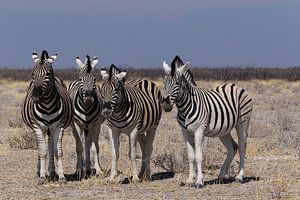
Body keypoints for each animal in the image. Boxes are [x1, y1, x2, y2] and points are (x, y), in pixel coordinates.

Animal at [21, 50, 73, 184]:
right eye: (33, 74)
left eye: (48, 74)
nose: (35, 96)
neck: (47, 105)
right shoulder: (38, 127)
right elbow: (42, 151)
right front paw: (42, 176)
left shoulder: (59, 126)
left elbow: (57, 151)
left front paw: (61, 176)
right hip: (42, 128)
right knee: (42, 147)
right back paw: (40, 171)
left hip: (51, 129)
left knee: (50, 146)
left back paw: (53, 172)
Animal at [161, 55, 252, 188]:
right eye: (164, 83)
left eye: (177, 83)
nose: (165, 105)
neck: (185, 107)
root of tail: (234, 85)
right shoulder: (185, 132)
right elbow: (190, 156)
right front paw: (189, 180)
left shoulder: (199, 130)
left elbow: (199, 156)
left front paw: (199, 181)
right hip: (224, 130)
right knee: (232, 148)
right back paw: (221, 176)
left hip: (243, 123)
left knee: (241, 147)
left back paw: (239, 177)